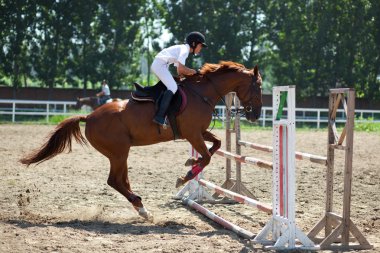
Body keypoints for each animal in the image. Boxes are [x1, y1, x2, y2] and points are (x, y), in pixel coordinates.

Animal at [19, 60, 262, 219]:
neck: (203, 92)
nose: (255, 115)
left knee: (121, 181)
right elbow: (207, 157)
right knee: (114, 181)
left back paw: (141, 208)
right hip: (119, 152)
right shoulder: (192, 134)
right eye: (258, 86)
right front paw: (185, 177)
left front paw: (190, 164)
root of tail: (89, 117)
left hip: (120, 153)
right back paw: (142, 208)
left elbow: (216, 145)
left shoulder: (198, 133)